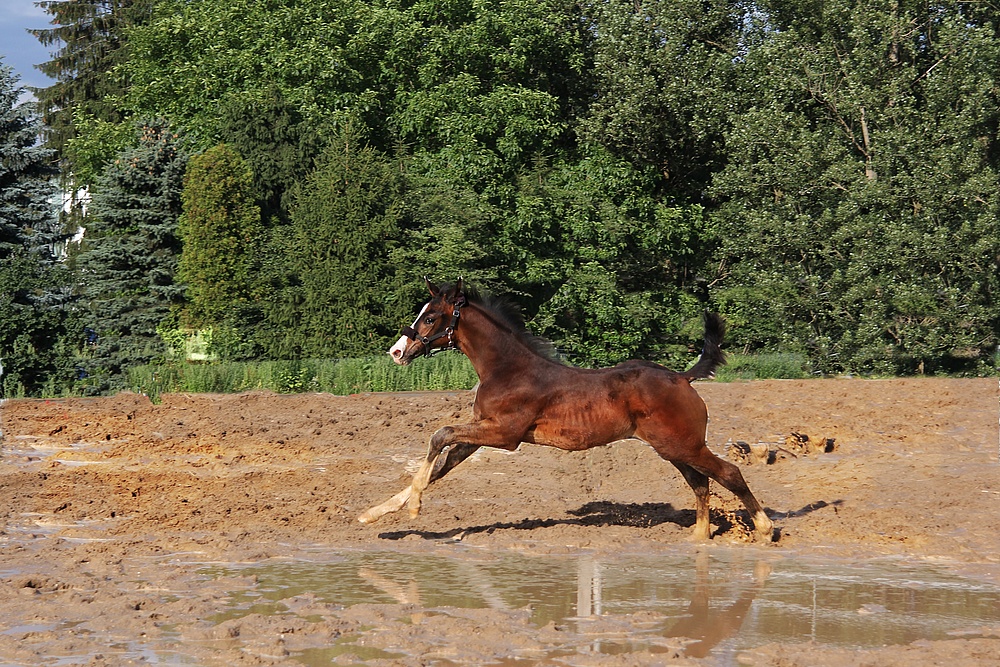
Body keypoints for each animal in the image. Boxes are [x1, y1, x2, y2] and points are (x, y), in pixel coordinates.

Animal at [356, 278, 776, 544]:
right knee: (701, 482)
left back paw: (765, 527)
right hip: (672, 447)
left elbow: (438, 435)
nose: (397, 351)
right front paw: (375, 514)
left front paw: (413, 508)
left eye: (430, 317)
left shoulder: (504, 434)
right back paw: (699, 536)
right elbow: (441, 465)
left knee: (729, 473)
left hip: (683, 444)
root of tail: (682, 378)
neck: (507, 369)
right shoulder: (481, 432)